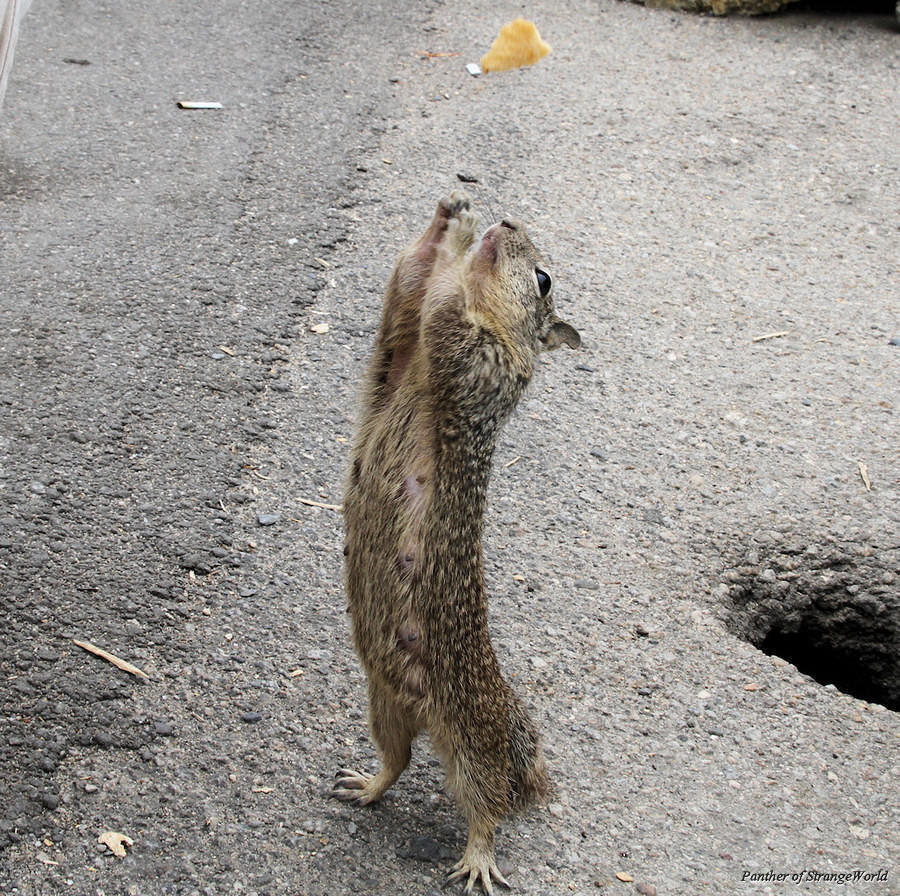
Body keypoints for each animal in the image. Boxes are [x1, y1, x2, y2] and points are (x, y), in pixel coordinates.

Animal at [335, 192, 580, 894]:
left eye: (544, 278)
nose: (507, 222)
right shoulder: (397, 351)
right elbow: (405, 293)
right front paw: (447, 220)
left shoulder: (482, 368)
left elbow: (447, 315)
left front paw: (461, 242)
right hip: (383, 703)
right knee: (397, 762)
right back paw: (366, 785)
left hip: (475, 750)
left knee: (487, 808)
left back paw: (477, 860)